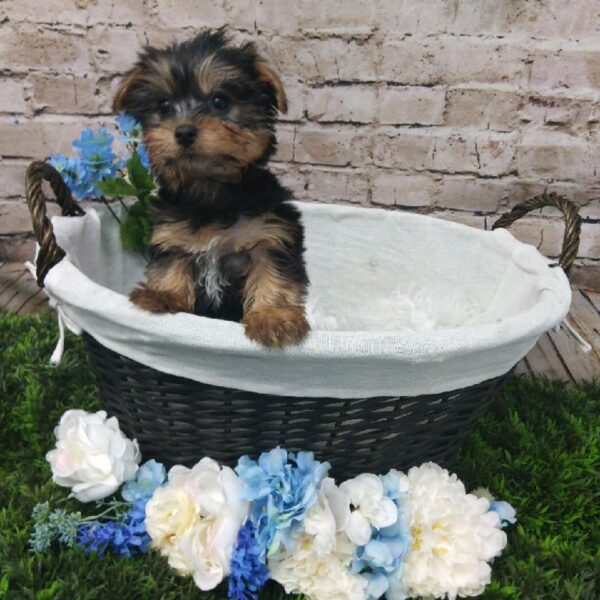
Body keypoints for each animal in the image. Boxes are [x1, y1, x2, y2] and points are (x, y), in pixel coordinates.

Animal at [112, 29, 310, 346]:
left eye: (220, 101)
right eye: (164, 106)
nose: (183, 131)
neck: (211, 194)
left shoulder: (271, 232)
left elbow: (274, 272)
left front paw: (273, 317)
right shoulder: (172, 233)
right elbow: (170, 263)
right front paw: (162, 294)